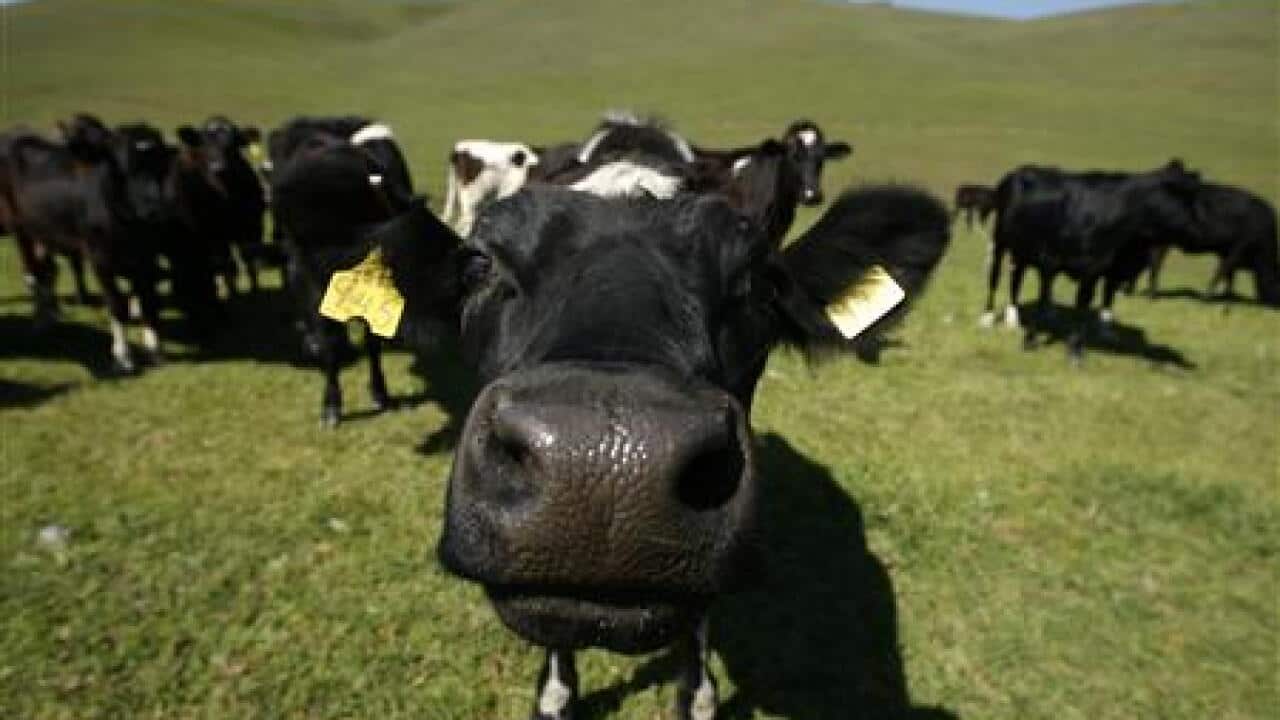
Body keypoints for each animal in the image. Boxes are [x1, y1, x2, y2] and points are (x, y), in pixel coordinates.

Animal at [982, 160, 1202, 361]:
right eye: (1184, 198)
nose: (1198, 229)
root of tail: (1021, 170)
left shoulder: (1100, 268)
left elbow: (1094, 302)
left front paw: (1092, 340)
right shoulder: (1052, 260)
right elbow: (1047, 298)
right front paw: (1032, 341)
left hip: (1022, 251)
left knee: (1016, 278)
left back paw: (1015, 317)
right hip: (1001, 240)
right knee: (995, 275)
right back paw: (987, 317)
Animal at [1140, 182, 1279, 305]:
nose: (1275, 304)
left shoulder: (1226, 252)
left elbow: (1229, 276)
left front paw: (1227, 297)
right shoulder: (1236, 250)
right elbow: (1222, 272)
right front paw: (1208, 297)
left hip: (1161, 241)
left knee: (1155, 263)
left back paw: (1152, 294)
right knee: (1155, 265)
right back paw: (1152, 296)